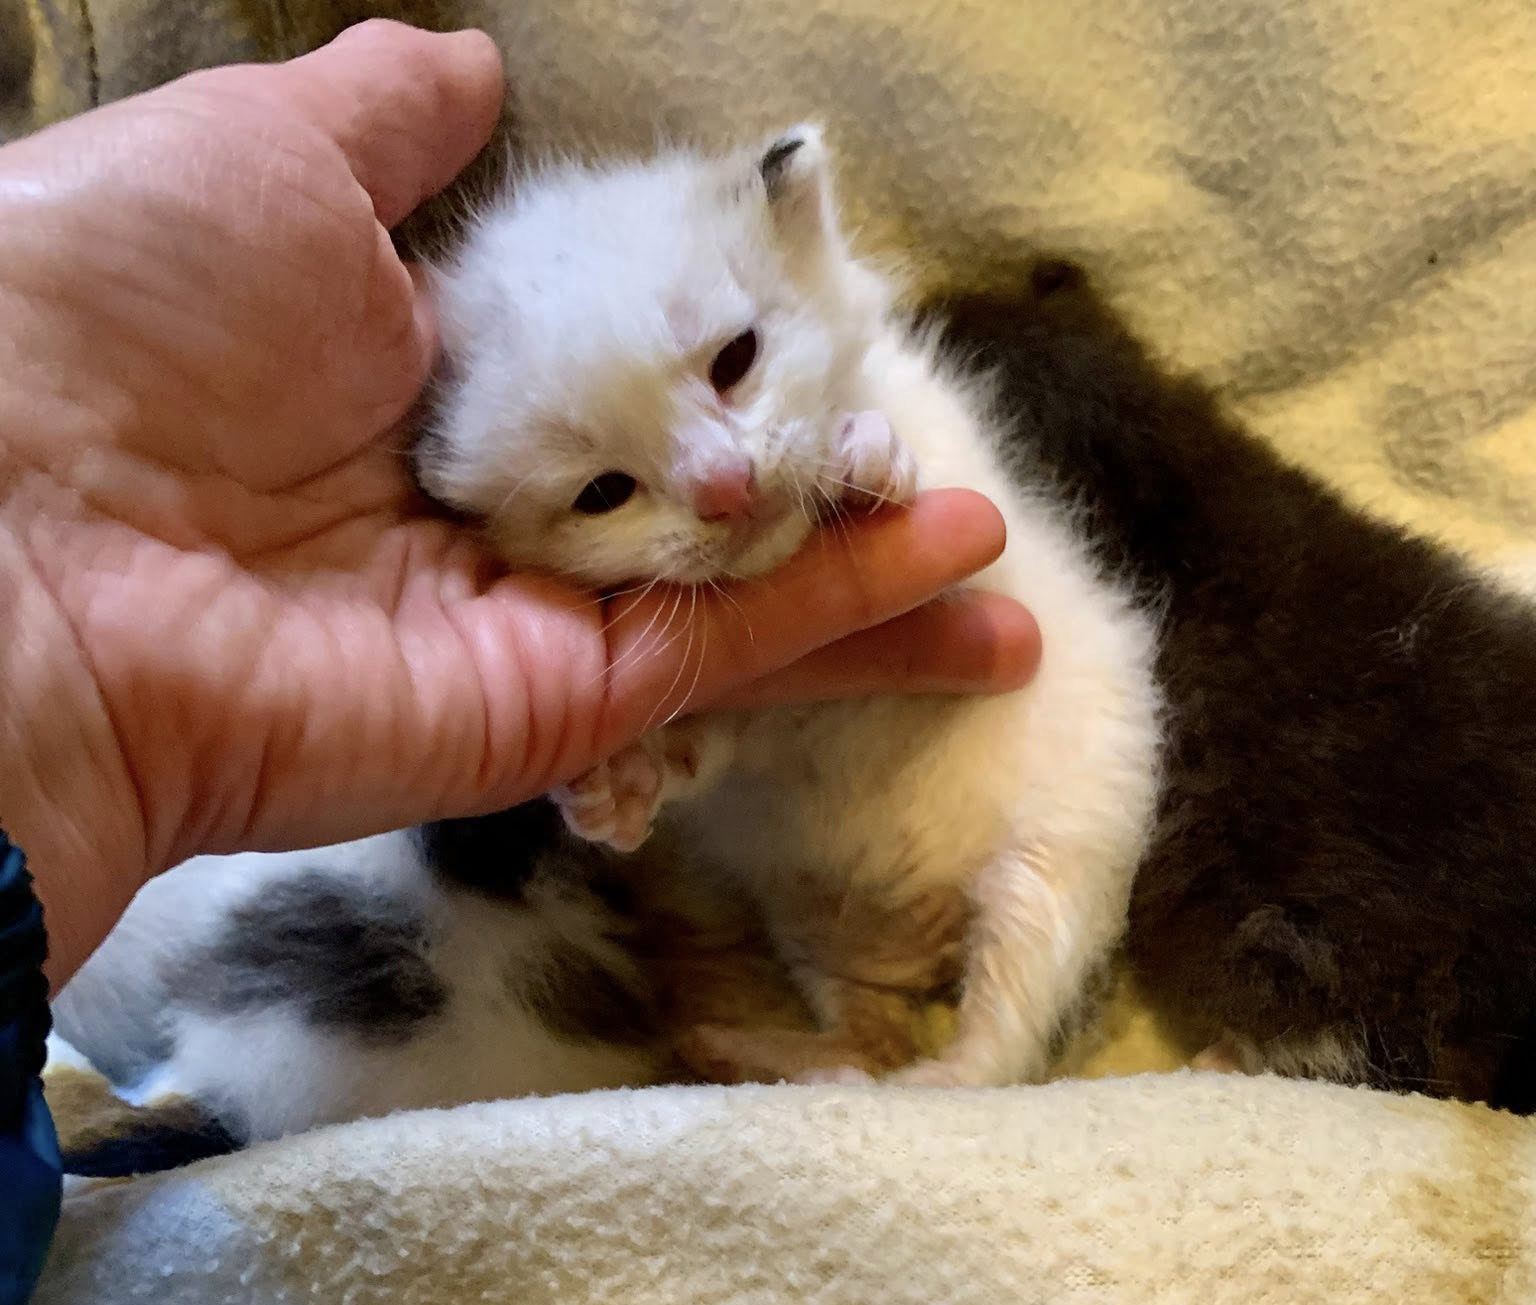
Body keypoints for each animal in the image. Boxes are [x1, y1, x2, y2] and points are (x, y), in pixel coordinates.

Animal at [415, 124, 1164, 1088]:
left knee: (986, 1060)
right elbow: (702, 751)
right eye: (603, 493)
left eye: (735, 359)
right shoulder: (753, 719)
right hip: (818, 921)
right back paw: (748, 1052)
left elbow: (941, 517)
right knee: (877, 1042)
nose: (726, 488)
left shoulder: (983, 552)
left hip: (1055, 866)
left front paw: (866, 455)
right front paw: (627, 784)